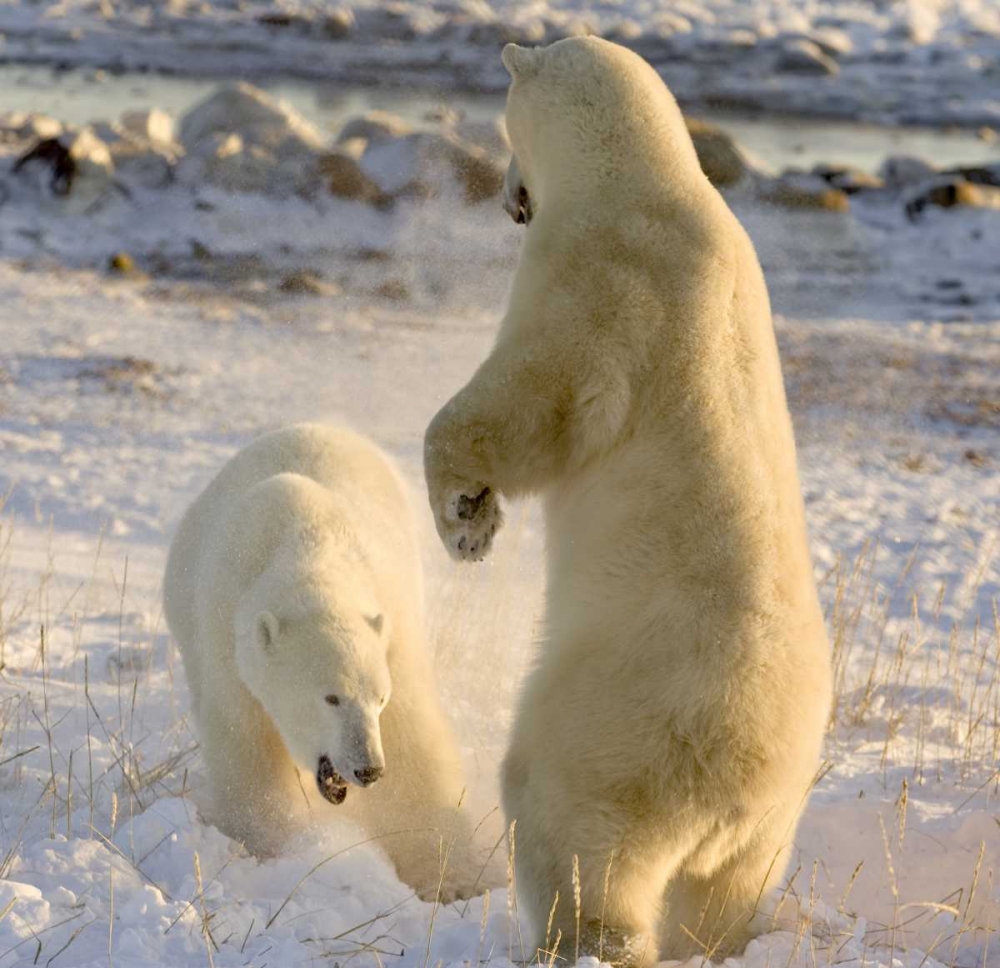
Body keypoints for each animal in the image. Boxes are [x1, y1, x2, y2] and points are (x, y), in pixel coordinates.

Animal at [164, 424, 475, 900]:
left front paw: (450, 876)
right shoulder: (226, 641)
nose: (368, 769)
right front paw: (271, 840)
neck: (308, 546)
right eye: (331, 698)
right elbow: (245, 742)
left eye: (378, 699)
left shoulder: (392, 630)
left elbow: (412, 742)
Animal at [423, 37, 832, 963]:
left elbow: (529, 402)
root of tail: (736, 776)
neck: (645, 178)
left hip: (616, 726)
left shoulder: (601, 284)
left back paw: (571, 939)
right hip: (773, 818)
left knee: (572, 834)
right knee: (722, 897)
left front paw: (467, 518)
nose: (509, 199)